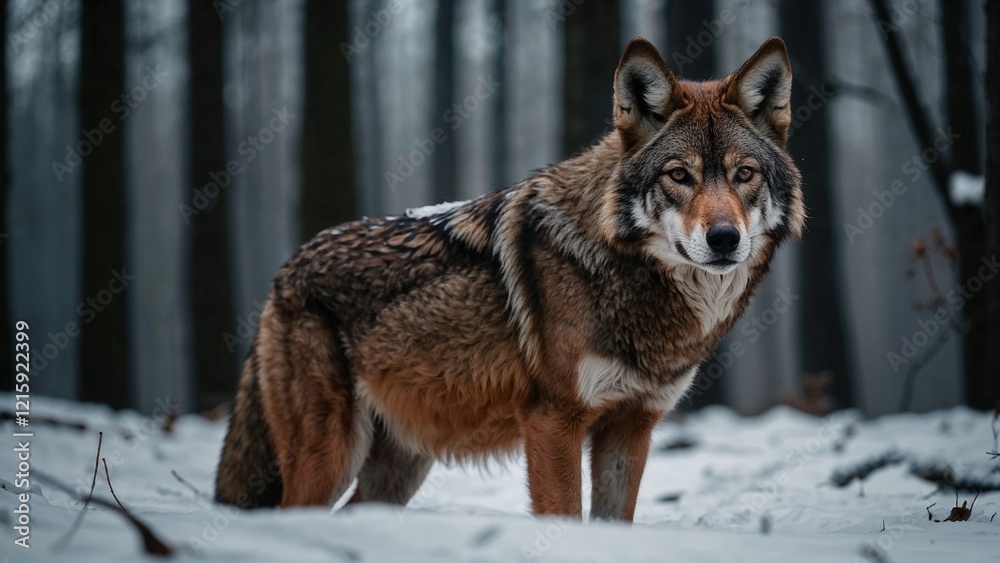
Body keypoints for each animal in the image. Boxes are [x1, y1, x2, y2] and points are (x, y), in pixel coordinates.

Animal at [215, 36, 804, 522]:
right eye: (679, 175)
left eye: (744, 174)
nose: (725, 239)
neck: (621, 271)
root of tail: (286, 269)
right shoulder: (553, 422)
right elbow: (564, 516)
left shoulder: (631, 427)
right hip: (330, 456)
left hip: (397, 468)